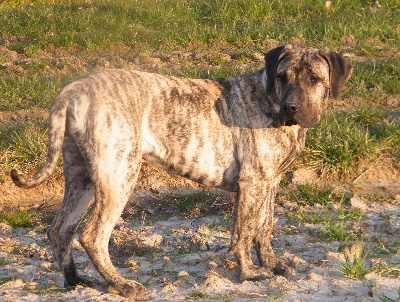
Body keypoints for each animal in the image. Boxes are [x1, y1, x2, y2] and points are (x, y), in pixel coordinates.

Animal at [10, 44, 352, 300]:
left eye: (314, 79)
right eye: (283, 76)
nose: (292, 107)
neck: (271, 99)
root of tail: (73, 90)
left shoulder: (269, 182)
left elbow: (264, 227)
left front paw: (272, 264)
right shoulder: (253, 182)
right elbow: (243, 233)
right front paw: (249, 273)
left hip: (82, 176)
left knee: (61, 228)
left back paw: (77, 281)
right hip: (120, 172)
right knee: (93, 235)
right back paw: (121, 285)